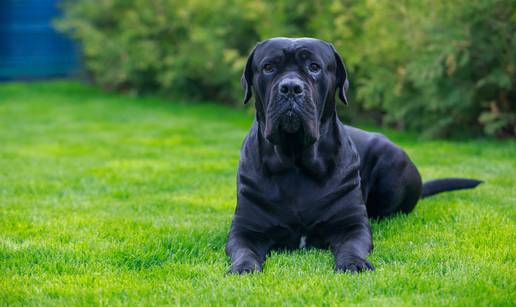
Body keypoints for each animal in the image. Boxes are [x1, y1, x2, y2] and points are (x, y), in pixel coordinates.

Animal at [226, 37, 480, 276]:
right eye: (268, 67)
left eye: (314, 67)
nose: (290, 87)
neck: (296, 161)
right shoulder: (245, 229)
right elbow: (244, 250)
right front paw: (243, 268)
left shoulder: (351, 225)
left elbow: (352, 245)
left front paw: (353, 264)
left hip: (392, 162)